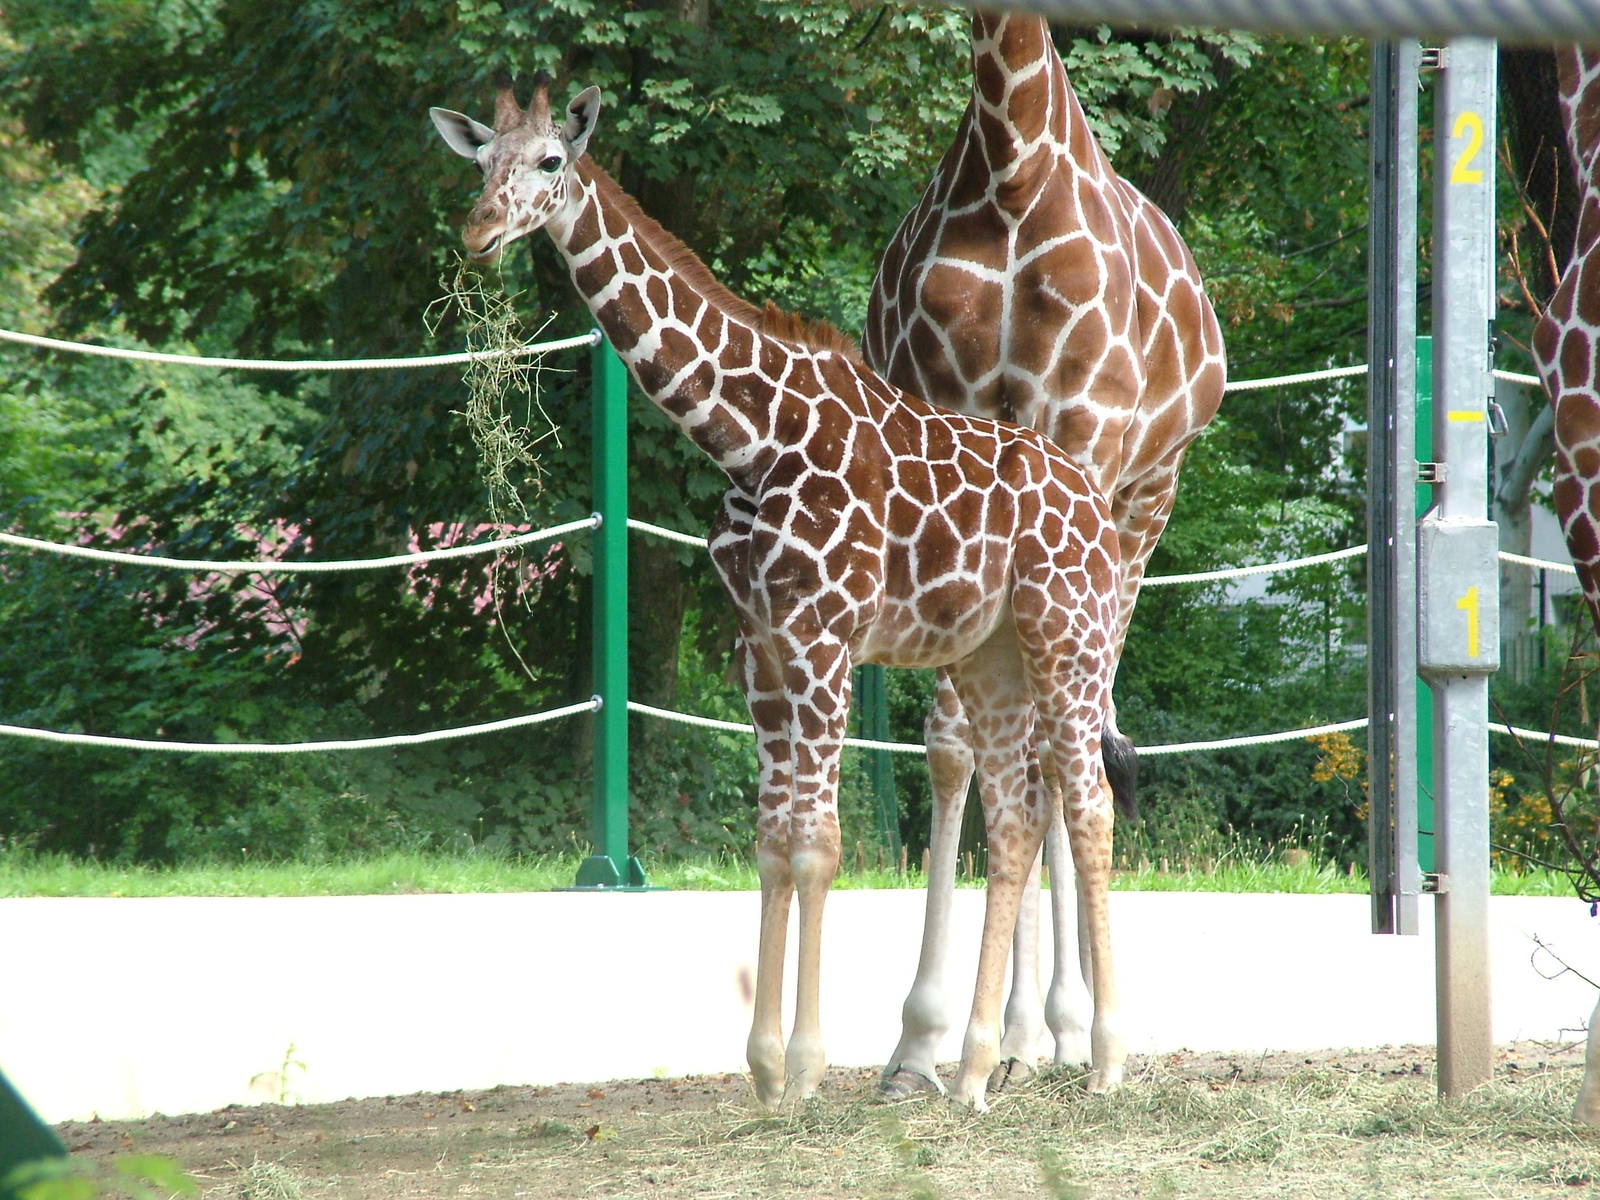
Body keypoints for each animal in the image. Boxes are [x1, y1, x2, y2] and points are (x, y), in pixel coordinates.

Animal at [430, 72, 1129, 1111]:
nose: (477, 232)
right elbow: (769, 842)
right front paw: (762, 1071)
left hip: (1067, 632)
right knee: (1011, 818)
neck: (748, 434)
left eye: (551, 160)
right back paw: (970, 1075)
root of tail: (1097, 508)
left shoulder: (824, 637)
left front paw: (801, 1065)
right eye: (480, 162)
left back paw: (1110, 1060)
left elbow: (818, 844)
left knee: (1088, 804)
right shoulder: (759, 644)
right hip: (990, 653)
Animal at [863, 12, 1228, 1095]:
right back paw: (1025, 1033)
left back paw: (1065, 1026)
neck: (1010, 159)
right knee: (1029, 733)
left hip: (1141, 499)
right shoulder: (947, 421)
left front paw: (1062, 1025)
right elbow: (961, 741)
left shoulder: (1079, 437)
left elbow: (1049, 749)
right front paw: (924, 1042)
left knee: (1077, 722)